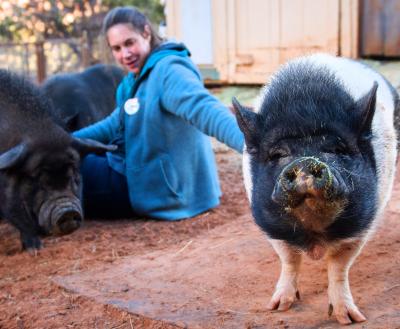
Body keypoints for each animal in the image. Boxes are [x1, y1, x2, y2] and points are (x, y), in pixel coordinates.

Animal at [233, 53, 398, 322]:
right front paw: (277, 307)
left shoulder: (363, 223)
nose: (305, 161)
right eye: (278, 154)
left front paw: (349, 319)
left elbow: (339, 265)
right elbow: (288, 258)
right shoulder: (271, 225)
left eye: (338, 149)